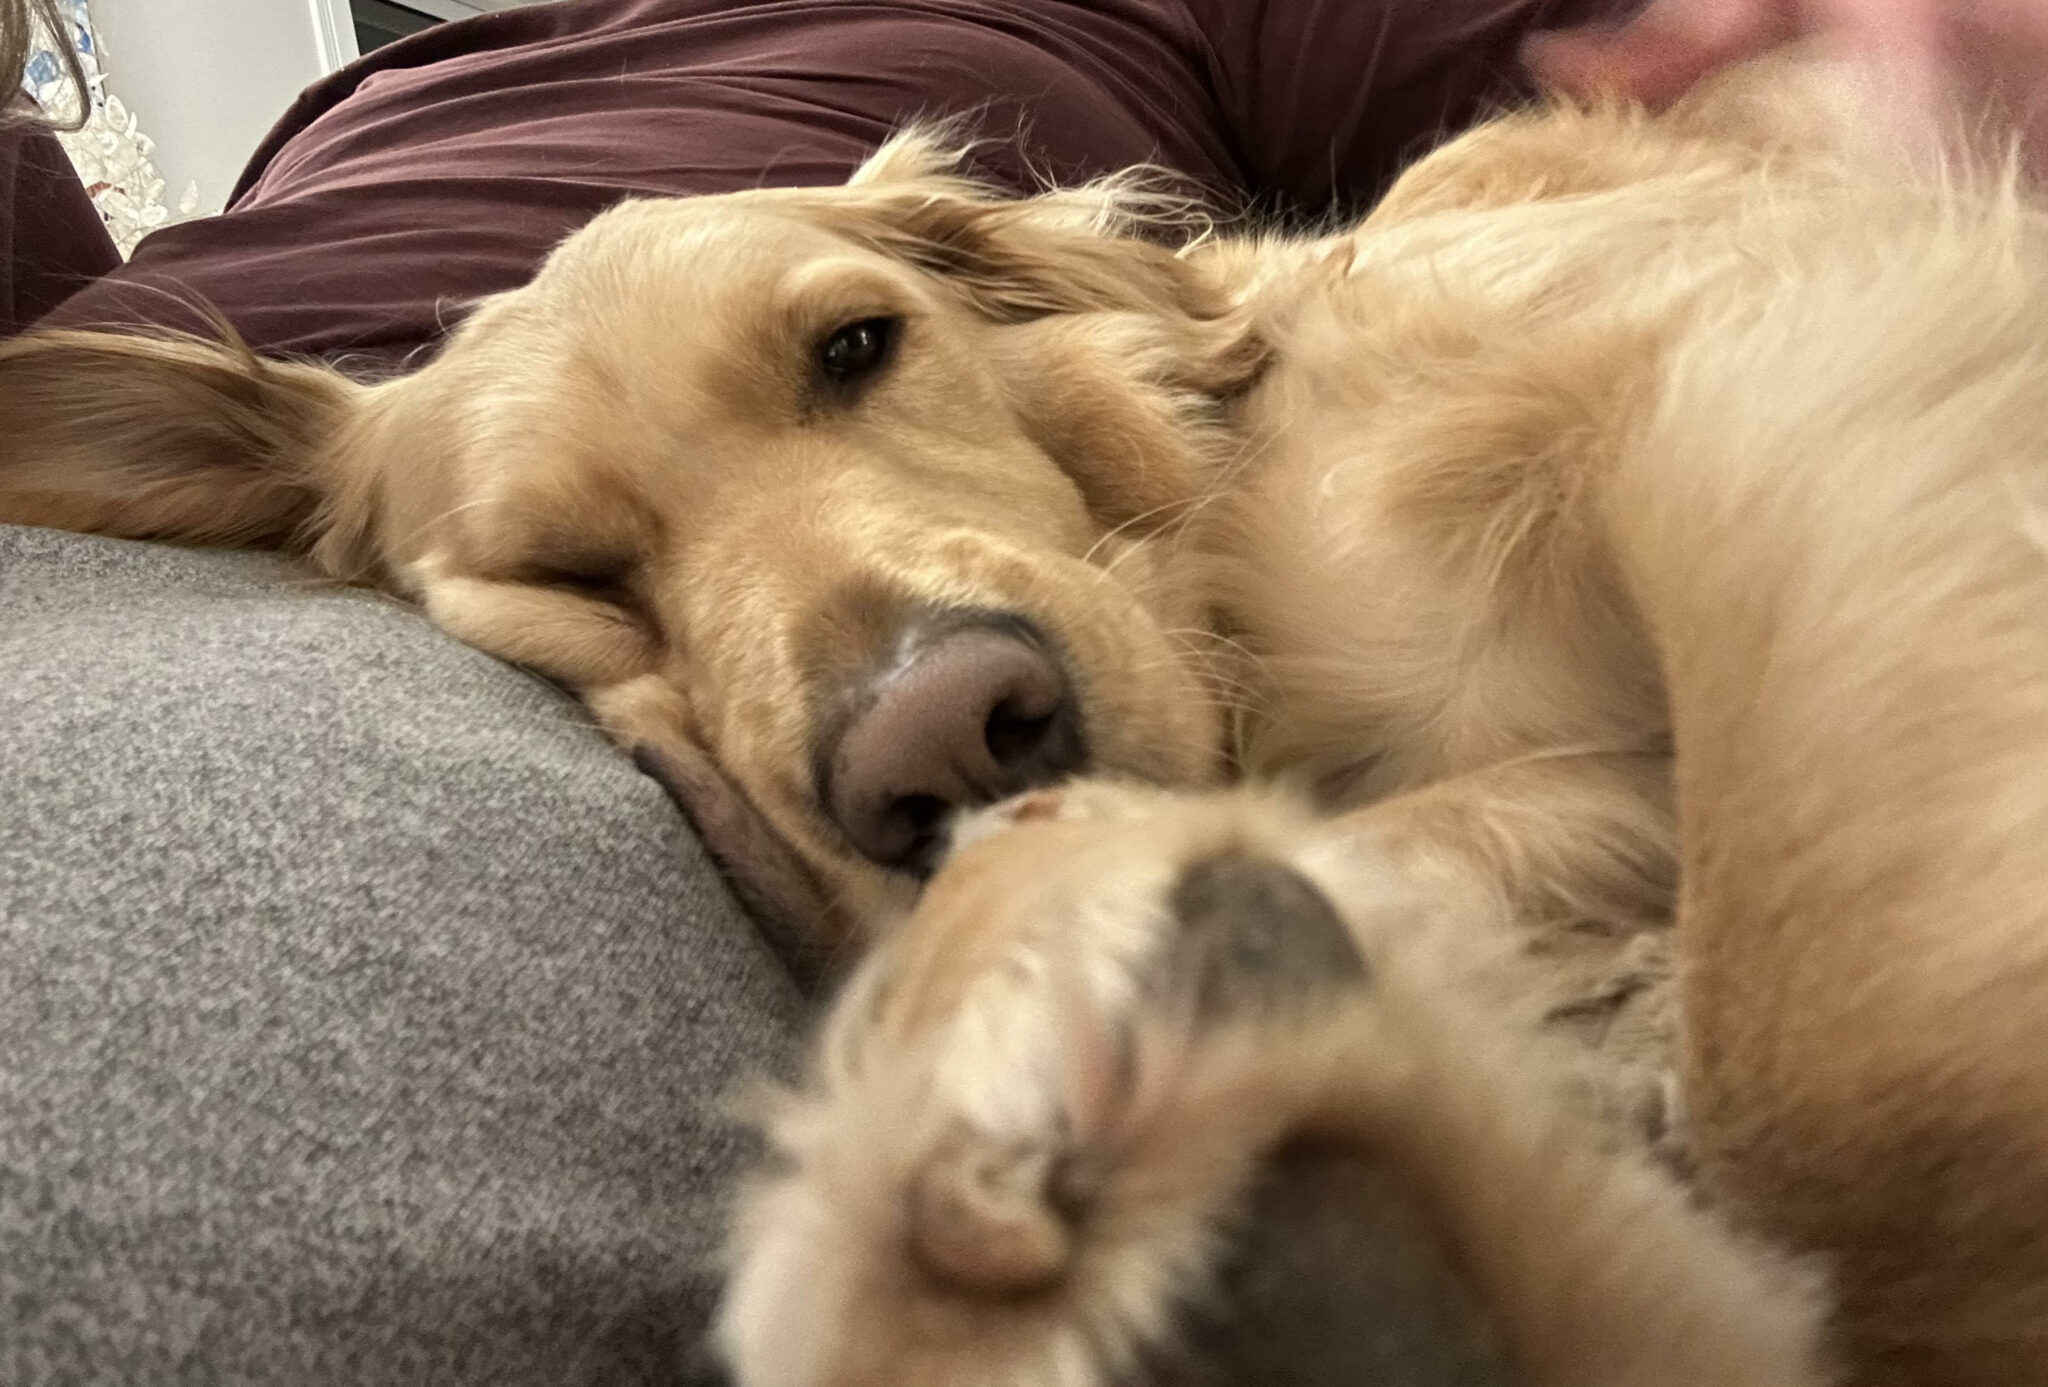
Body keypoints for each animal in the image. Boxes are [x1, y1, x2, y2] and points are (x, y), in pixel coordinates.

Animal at [6, 50, 2048, 1385]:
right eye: (568, 565)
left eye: (856, 346)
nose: (948, 741)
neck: (1217, 530)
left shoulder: (1776, 345)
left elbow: (1819, 1050)